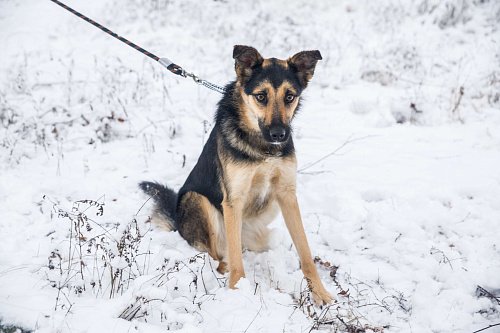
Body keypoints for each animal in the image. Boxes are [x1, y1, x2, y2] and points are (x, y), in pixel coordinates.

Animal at [141, 45, 334, 304]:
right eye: (261, 96)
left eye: (289, 96)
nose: (279, 134)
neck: (262, 147)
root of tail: (177, 223)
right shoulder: (233, 200)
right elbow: (235, 261)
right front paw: (237, 293)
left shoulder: (287, 195)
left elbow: (305, 253)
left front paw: (320, 293)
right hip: (198, 200)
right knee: (217, 257)